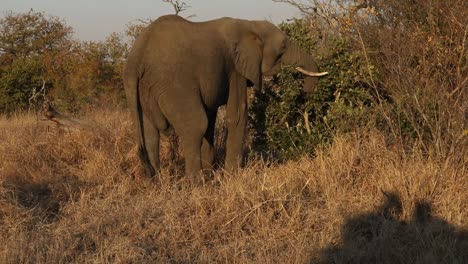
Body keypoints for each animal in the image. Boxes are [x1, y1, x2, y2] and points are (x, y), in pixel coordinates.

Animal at [124, 14, 330, 182]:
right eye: (283, 46)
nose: (303, 93)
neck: (250, 24)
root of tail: (136, 59)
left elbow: (211, 119)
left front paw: (212, 173)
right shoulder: (235, 70)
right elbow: (236, 116)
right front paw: (232, 177)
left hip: (144, 89)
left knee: (150, 134)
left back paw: (157, 184)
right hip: (174, 83)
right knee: (195, 125)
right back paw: (197, 184)